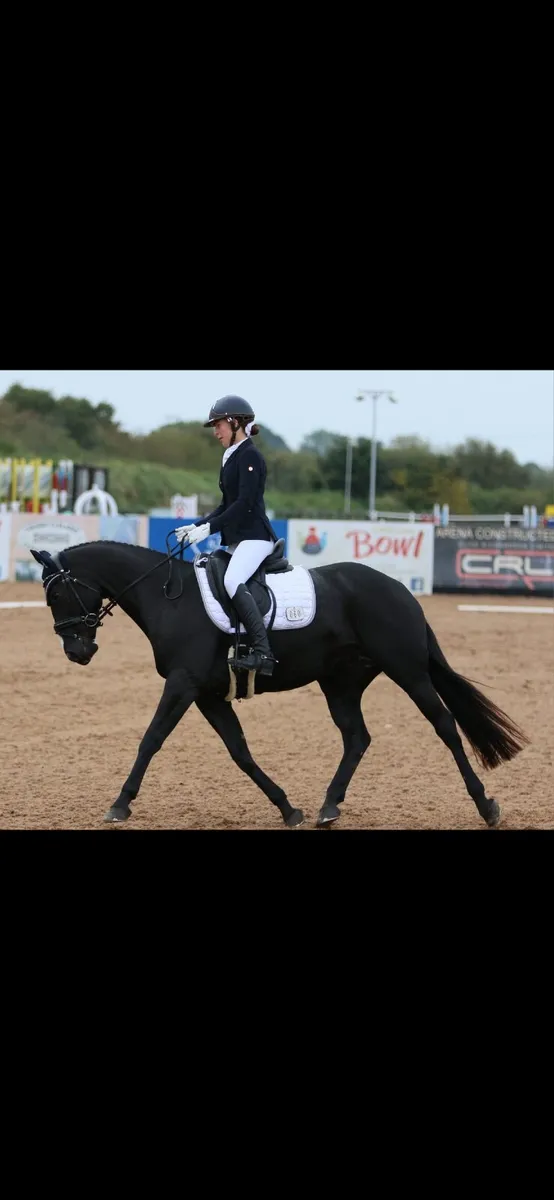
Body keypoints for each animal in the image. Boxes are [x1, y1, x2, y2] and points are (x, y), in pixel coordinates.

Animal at [31, 539, 528, 829]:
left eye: (56, 593)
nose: (77, 652)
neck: (169, 597)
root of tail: (400, 590)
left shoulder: (183, 684)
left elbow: (151, 739)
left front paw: (119, 804)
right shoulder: (208, 694)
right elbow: (240, 751)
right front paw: (288, 809)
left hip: (408, 671)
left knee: (445, 726)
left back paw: (486, 807)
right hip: (340, 683)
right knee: (357, 737)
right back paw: (328, 807)